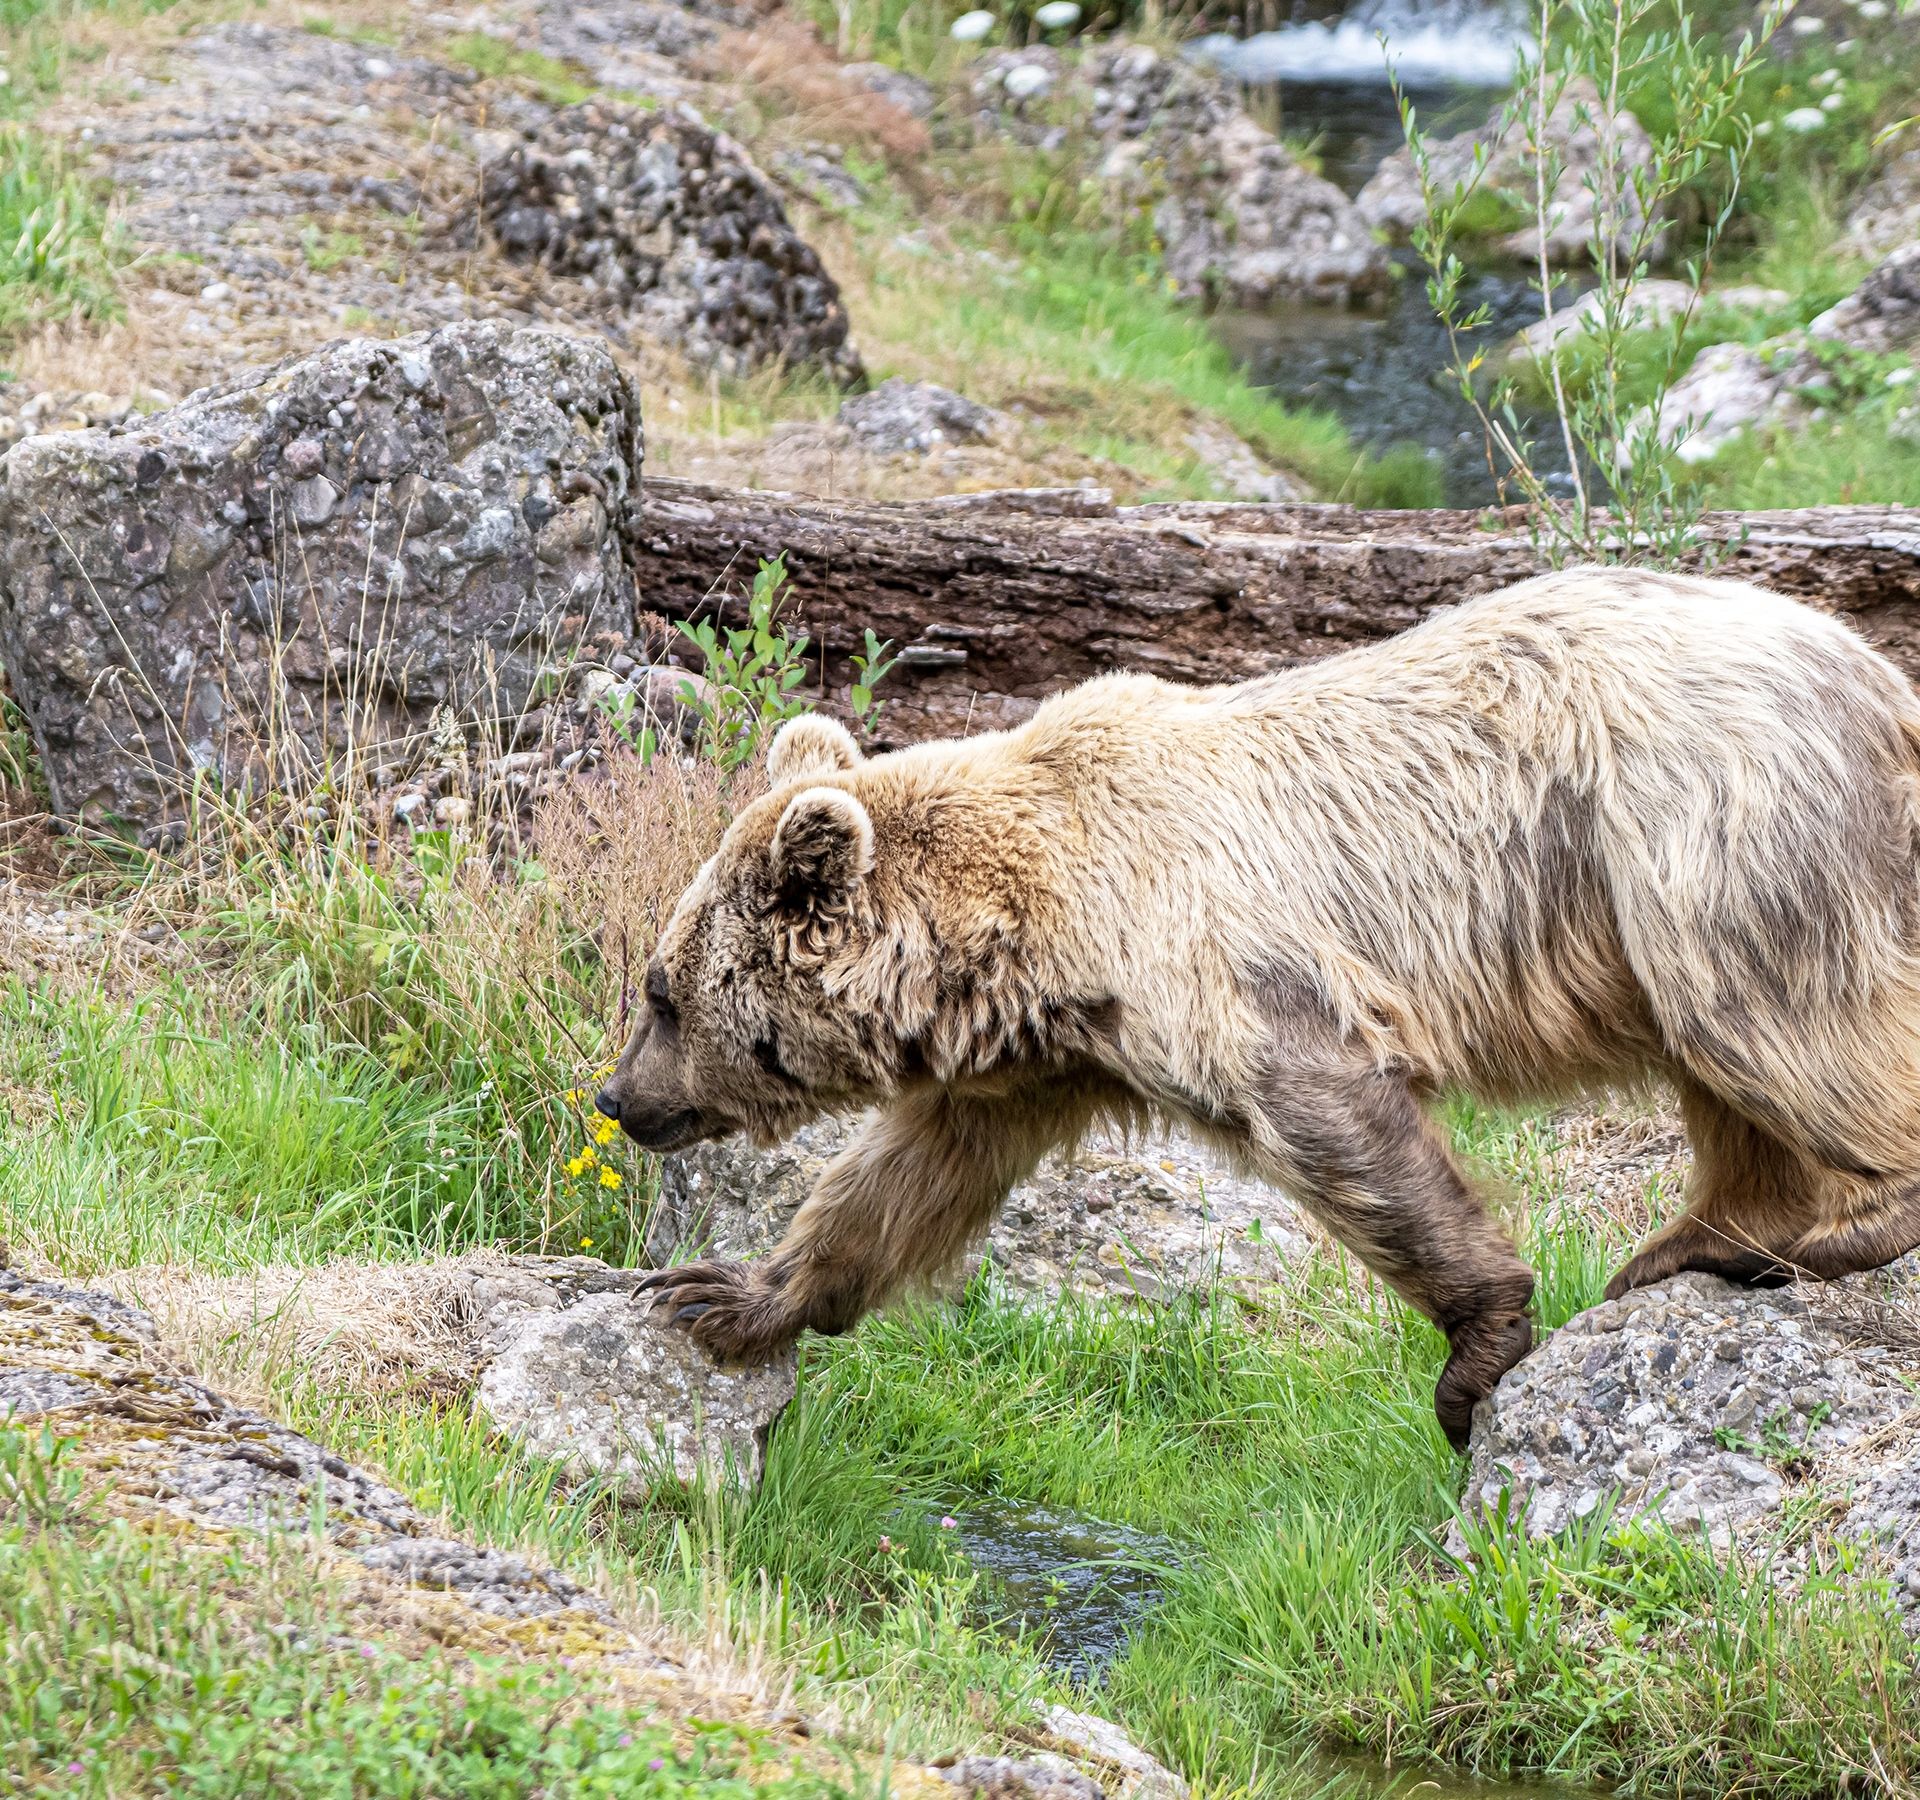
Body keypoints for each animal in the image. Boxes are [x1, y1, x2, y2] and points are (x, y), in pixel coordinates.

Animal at [598, 566, 1920, 1447]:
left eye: (661, 993)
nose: (618, 1097)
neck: (1033, 936)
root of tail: (1877, 676)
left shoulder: (1212, 967)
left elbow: (1337, 1122)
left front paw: (1474, 1361)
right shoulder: (1047, 1060)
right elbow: (909, 1178)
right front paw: (725, 1295)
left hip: (1698, 834)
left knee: (1774, 1022)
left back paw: (1838, 1224)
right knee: (1732, 1066)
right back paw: (1698, 1241)